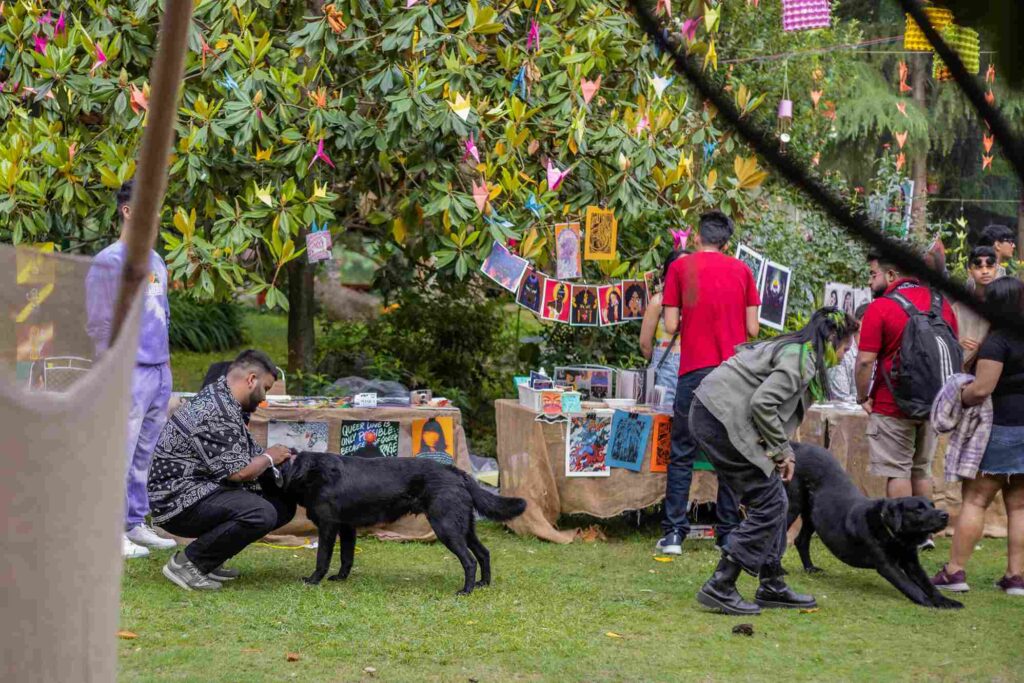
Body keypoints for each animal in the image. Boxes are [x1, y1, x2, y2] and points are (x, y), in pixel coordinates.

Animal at [278, 454, 524, 593]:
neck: (312, 474)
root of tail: (456, 472)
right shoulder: (347, 527)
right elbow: (347, 557)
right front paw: (340, 579)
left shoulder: (328, 526)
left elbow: (323, 558)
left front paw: (313, 580)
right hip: (464, 528)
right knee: (484, 553)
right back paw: (483, 584)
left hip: (447, 528)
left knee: (470, 561)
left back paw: (466, 591)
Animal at [782, 444, 958, 610]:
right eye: (918, 509)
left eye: (932, 505)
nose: (945, 515)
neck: (895, 536)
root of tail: (798, 446)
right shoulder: (887, 565)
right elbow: (911, 587)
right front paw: (929, 602)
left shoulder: (912, 563)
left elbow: (928, 585)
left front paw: (946, 601)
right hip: (793, 506)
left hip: (813, 515)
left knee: (801, 540)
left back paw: (810, 568)